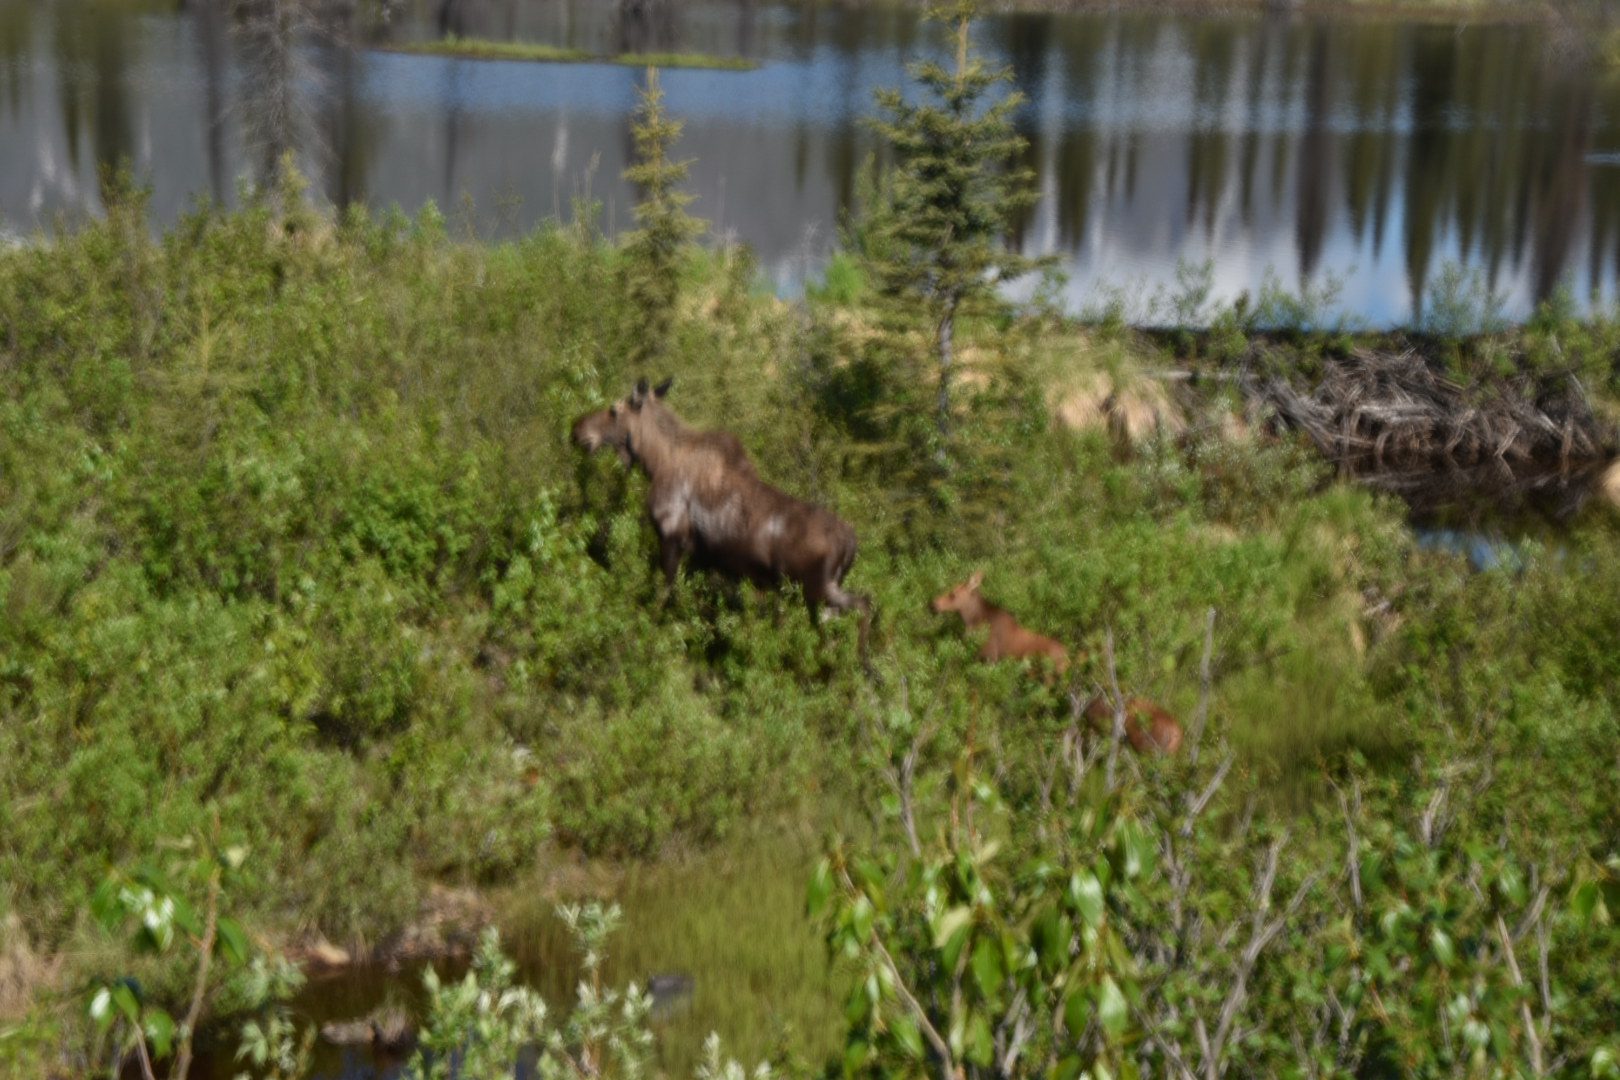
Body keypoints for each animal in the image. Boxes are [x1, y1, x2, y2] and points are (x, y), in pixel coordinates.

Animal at [573, 372, 874, 660]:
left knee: (863, 606)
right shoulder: (702, 557)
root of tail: (852, 543)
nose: (577, 430)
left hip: (818, 588)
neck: (655, 462)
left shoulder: (672, 538)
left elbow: (664, 596)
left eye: (614, 409)